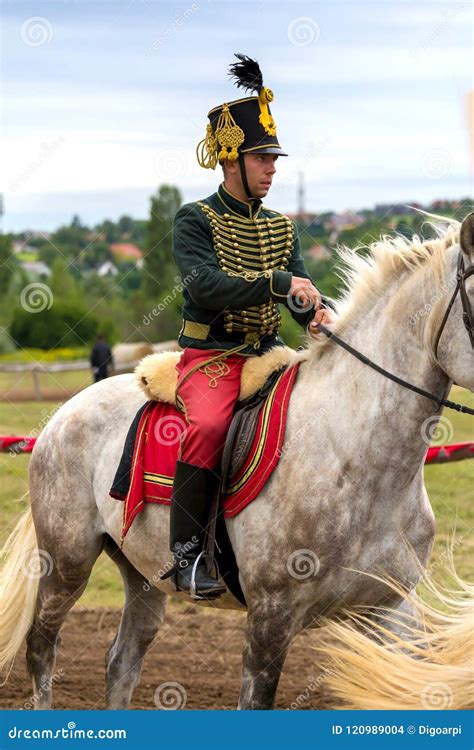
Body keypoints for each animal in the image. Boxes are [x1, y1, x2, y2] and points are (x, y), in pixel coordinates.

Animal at [0, 213, 472, 712]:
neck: (354, 458)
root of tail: (62, 414)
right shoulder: (271, 617)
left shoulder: (392, 611)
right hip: (66, 562)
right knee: (41, 649)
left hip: (142, 576)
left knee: (121, 661)